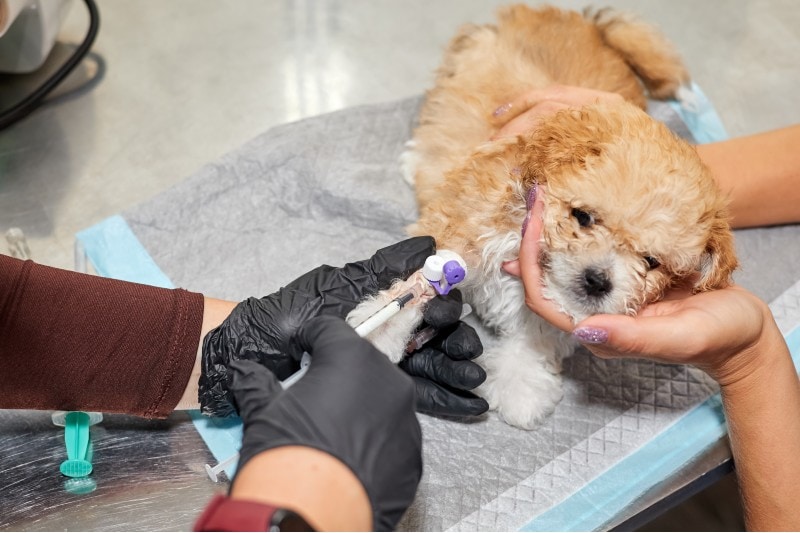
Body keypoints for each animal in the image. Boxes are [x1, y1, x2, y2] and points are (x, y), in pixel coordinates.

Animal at [400, 5, 736, 428]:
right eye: (583, 217)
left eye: (651, 262)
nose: (597, 280)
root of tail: (587, 22)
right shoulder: (463, 222)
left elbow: (534, 337)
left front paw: (521, 390)